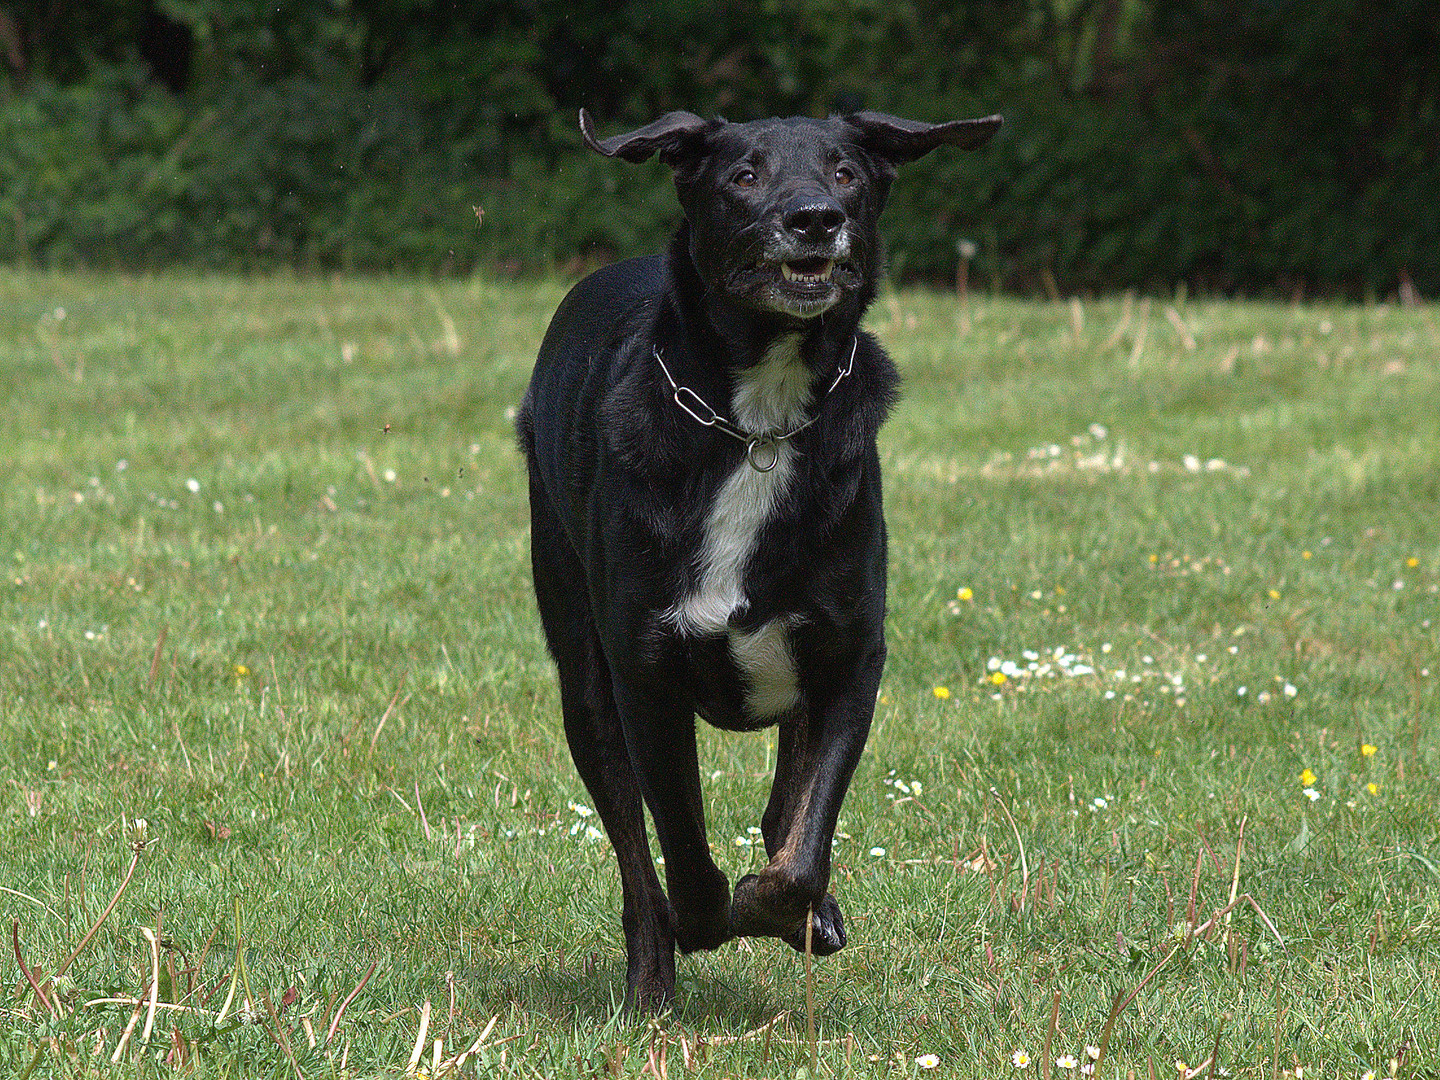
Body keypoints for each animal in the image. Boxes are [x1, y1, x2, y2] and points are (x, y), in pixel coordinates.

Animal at [518, 105, 1002, 1013]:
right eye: (743, 175)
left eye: (847, 171)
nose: (816, 217)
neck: (758, 422)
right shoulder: (647, 673)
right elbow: (683, 852)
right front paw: (711, 918)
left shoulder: (849, 657)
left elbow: (804, 845)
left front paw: (782, 906)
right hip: (584, 680)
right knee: (635, 860)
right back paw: (652, 980)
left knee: (786, 818)